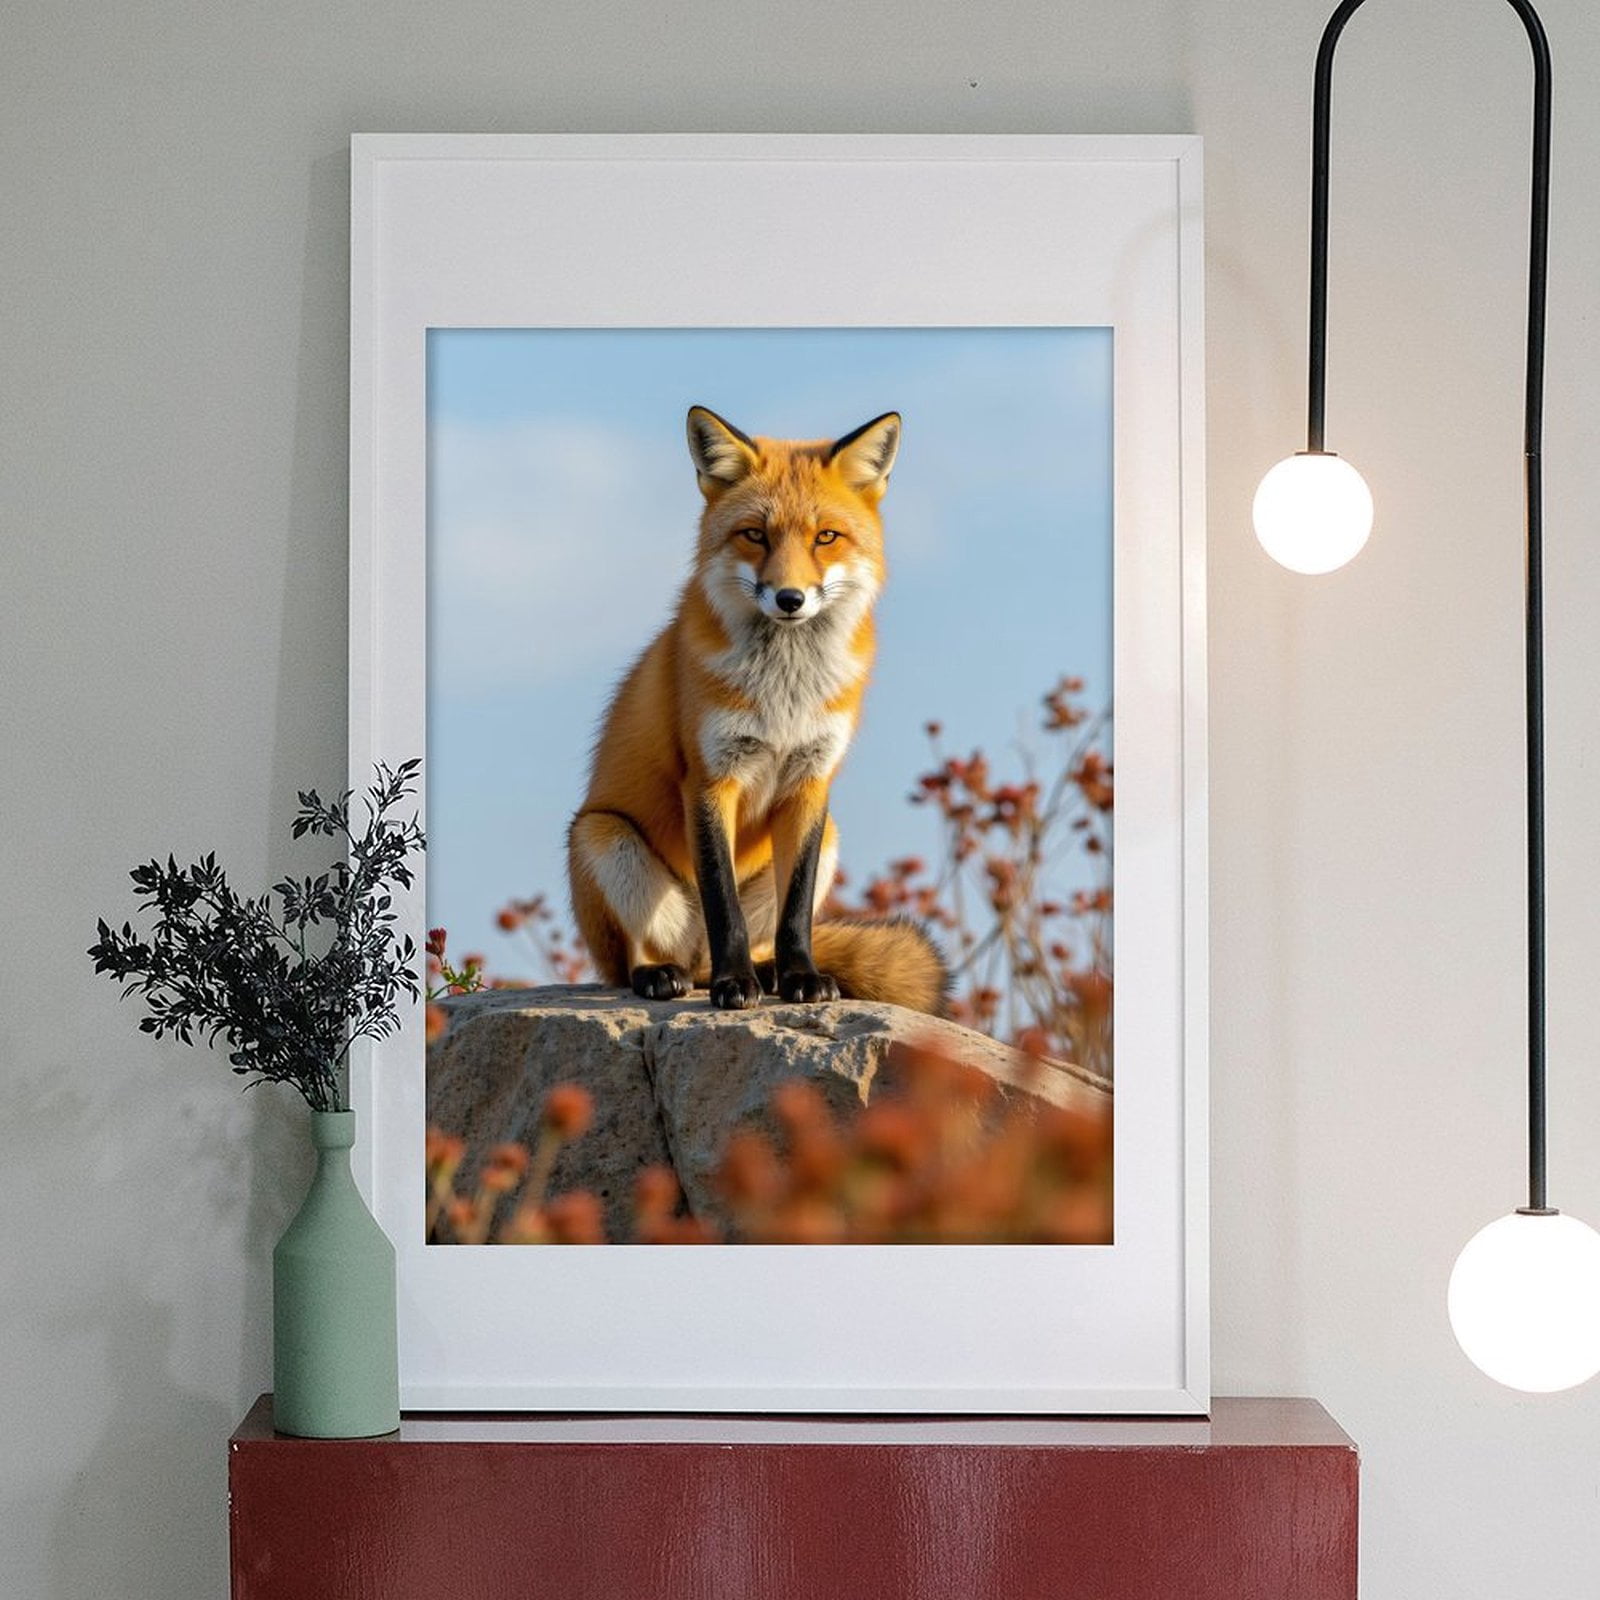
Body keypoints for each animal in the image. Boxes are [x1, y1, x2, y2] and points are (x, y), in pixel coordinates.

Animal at [566, 405, 946, 1015]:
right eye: (754, 536)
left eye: (825, 537)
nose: (790, 598)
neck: (784, 695)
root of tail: (692, 958)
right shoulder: (708, 778)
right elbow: (724, 904)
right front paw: (734, 984)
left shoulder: (812, 782)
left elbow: (796, 913)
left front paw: (800, 978)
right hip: (603, 836)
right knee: (632, 964)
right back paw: (668, 975)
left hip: (831, 835)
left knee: (750, 940)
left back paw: (767, 973)